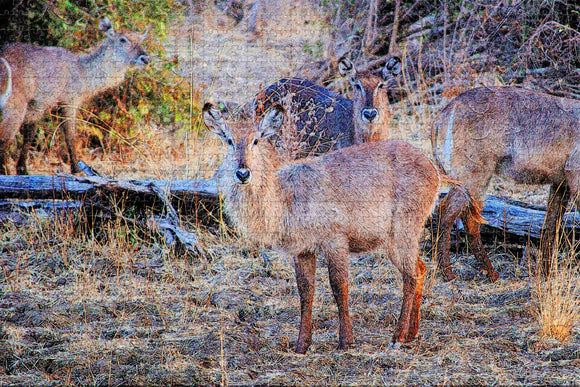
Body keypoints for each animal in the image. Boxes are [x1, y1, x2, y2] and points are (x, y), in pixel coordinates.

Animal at [0, 17, 150, 175]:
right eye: (123, 39)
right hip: (14, 106)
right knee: (4, 139)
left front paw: (22, 169)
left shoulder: (36, 107)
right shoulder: (69, 101)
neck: (82, 71)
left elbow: (29, 136)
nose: (146, 58)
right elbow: (70, 135)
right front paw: (76, 168)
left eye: (140, 40)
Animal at [204, 102, 472, 354]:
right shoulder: (302, 250)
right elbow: (305, 292)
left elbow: (339, 286)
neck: (284, 197)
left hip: (402, 231)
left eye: (256, 140)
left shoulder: (335, 240)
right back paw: (412, 333)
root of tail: (436, 172)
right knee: (421, 268)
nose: (242, 173)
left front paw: (346, 340)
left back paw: (398, 337)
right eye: (229, 140)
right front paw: (301, 345)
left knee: (411, 275)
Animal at [430, 85, 580, 282]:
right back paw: (464, 273)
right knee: (454, 215)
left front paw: (547, 274)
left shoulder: (560, 184)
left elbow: (550, 226)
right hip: (474, 178)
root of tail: (443, 114)